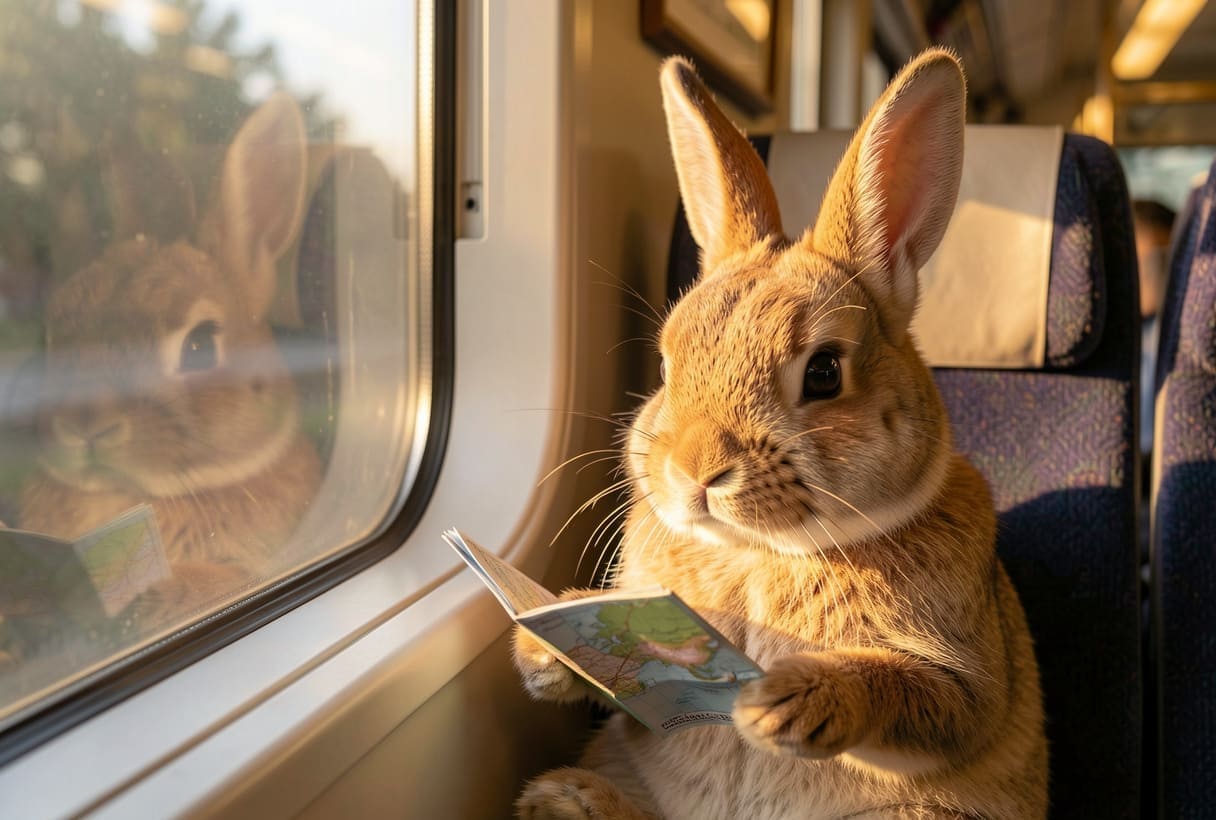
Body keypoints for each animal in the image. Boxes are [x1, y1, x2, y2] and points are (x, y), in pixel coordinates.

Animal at [513, 49, 1048, 820]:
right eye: (667, 364)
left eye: (824, 372)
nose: (694, 471)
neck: (759, 554)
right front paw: (544, 646)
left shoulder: (964, 684)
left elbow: (918, 695)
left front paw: (788, 703)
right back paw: (565, 798)